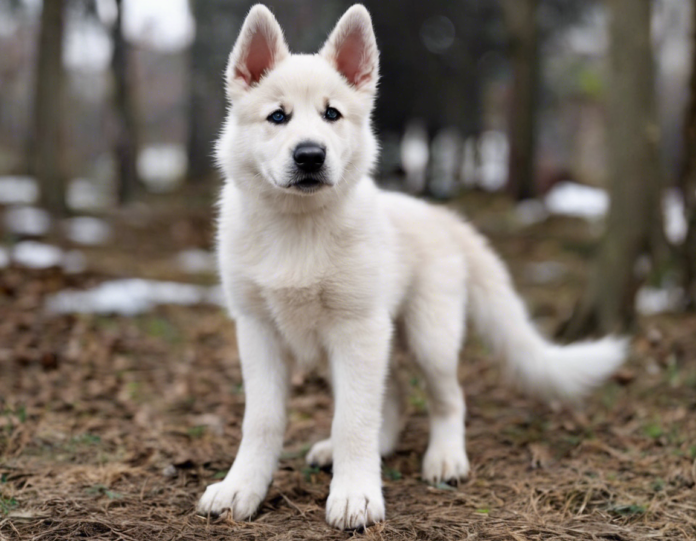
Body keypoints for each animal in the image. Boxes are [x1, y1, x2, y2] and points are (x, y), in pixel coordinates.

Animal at [196, 3, 624, 528]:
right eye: (277, 116)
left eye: (332, 114)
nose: (310, 156)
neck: (298, 226)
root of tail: (444, 217)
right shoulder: (258, 330)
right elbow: (262, 419)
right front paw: (242, 489)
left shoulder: (357, 328)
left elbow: (354, 417)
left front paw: (355, 494)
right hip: (361, 342)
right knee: (393, 393)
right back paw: (360, 450)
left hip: (426, 337)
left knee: (447, 398)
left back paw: (445, 458)